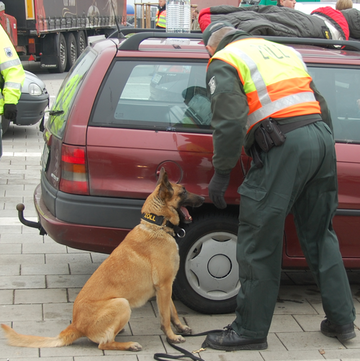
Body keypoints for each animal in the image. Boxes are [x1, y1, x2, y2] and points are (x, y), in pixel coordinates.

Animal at [0, 167, 205, 350]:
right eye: (184, 191)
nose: (204, 198)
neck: (157, 224)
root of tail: (75, 325)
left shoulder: (165, 286)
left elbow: (172, 310)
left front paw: (180, 327)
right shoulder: (163, 285)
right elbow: (165, 317)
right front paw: (171, 336)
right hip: (122, 303)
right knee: (103, 344)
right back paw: (129, 345)